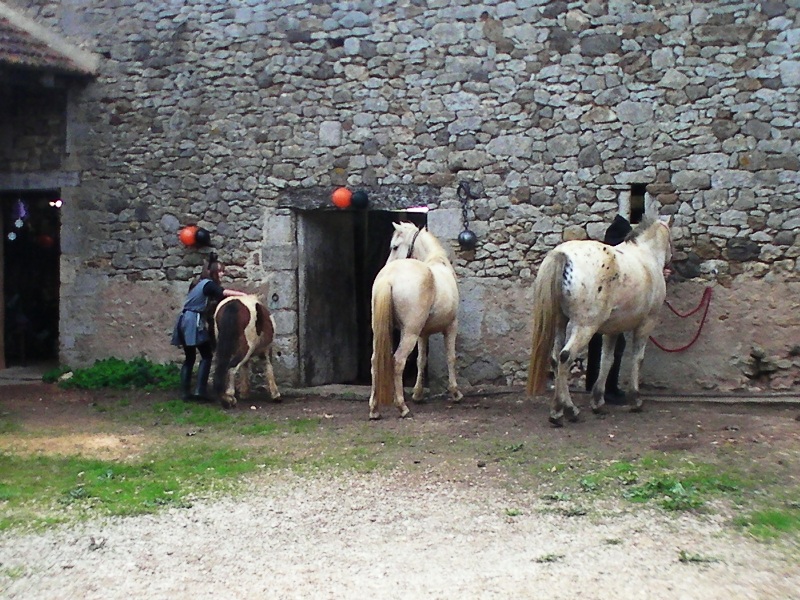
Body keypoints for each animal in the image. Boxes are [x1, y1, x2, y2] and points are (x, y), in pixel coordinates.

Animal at [368, 222, 463, 420]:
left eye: (395, 247)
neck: (436, 261)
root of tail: (389, 277)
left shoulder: (422, 333)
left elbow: (421, 360)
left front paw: (418, 394)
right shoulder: (451, 326)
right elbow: (450, 357)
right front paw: (455, 392)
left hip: (385, 332)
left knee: (374, 362)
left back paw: (374, 410)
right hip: (409, 333)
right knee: (398, 361)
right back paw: (402, 407)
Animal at [526, 216, 672, 427]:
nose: (671, 260)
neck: (645, 256)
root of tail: (562, 255)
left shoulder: (613, 329)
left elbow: (607, 360)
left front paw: (598, 401)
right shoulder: (646, 324)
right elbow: (638, 359)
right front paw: (635, 399)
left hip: (561, 323)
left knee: (555, 359)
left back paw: (561, 409)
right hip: (585, 327)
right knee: (565, 358)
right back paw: (566, 411)